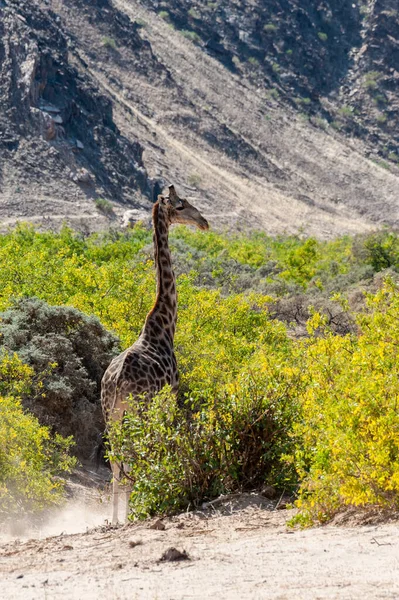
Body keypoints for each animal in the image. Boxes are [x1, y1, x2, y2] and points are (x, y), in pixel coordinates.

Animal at [101, 184, 209, 524]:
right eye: (182, 205)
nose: (204, 222)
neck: (164, 325)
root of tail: (116, 380)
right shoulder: (171, 397)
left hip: (110, 413)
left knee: (116, 461)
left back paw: (116, 519)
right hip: (140, 409)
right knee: (133, 455)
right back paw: (136, 509)